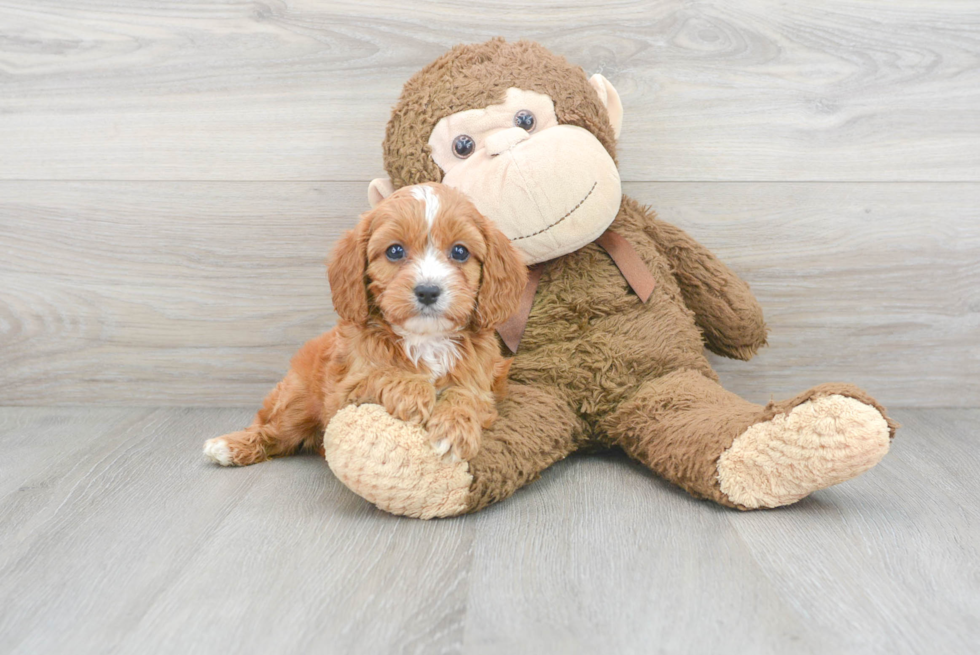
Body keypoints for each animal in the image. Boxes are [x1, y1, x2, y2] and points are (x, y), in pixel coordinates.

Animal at [203, 182, 528, 464]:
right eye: (395, 251)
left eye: (460, 251)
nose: (427, 291)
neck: (425, 339)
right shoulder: (343, 390)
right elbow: (380, 374)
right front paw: (415, 391)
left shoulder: (484, 382)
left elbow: (467, 395)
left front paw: (454, 430)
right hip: (297, 401)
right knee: (275, 432)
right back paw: (227, 447)